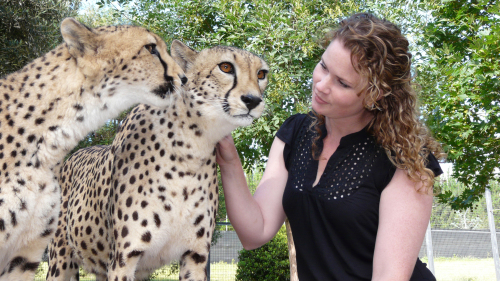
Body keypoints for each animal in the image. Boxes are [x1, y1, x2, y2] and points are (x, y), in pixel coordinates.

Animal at [47, 40, 270, 280]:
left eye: (261, 74)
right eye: (226, 67)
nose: (253, 100)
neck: (192, 146)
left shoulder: (195, 255)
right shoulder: (123, 258)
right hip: (61, 261)